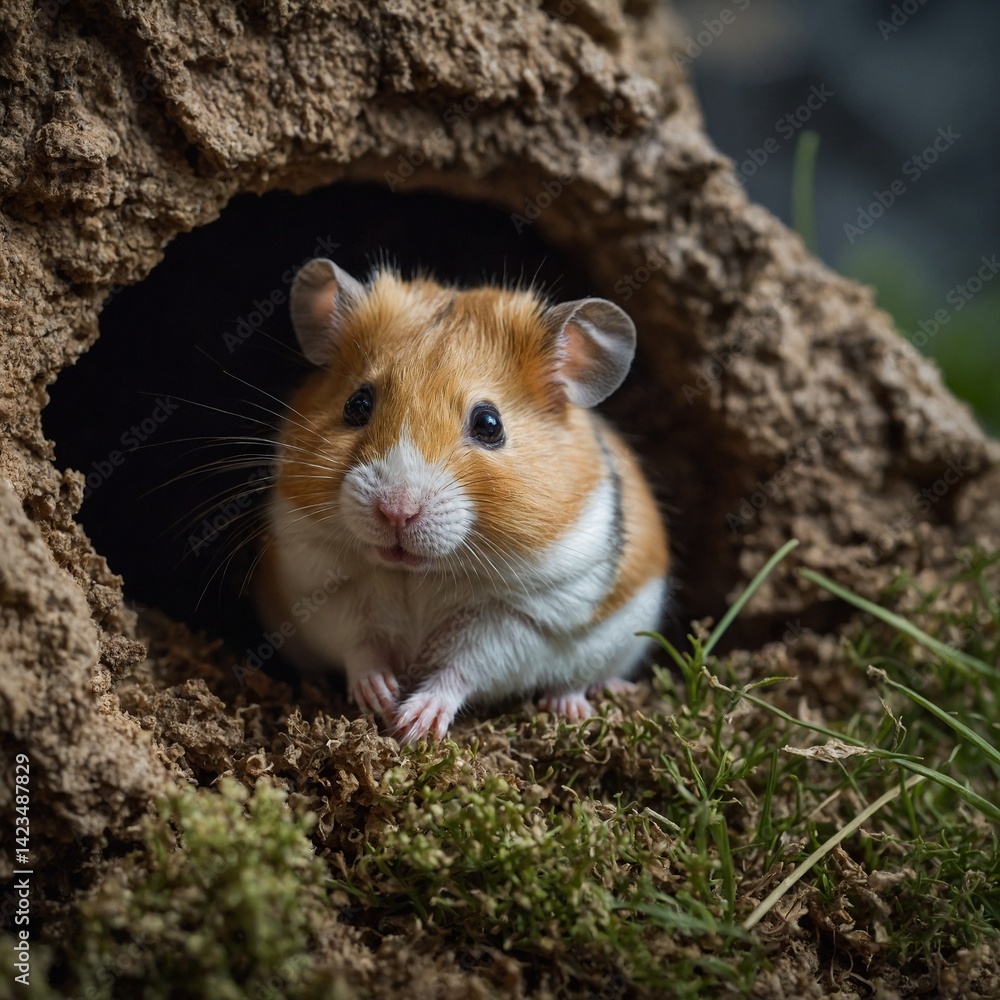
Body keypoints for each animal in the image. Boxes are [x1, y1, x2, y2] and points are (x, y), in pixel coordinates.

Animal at [254, 258, 669, 745]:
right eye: (356, 404)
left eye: (489, 424)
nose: (396, 511)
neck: (419, 573)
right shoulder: (324, 591)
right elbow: (359, 646)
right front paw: (382, 698)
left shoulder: (520, 620)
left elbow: (465, 666)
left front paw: (413, 724)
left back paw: (573, 705)